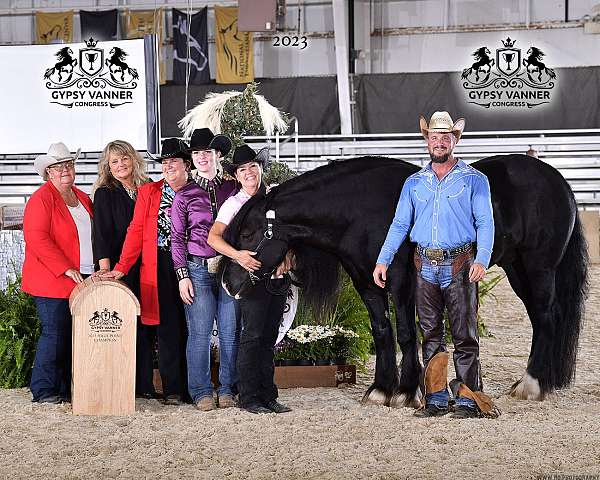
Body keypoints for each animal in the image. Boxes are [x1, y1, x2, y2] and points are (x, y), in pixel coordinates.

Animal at [219, 156, 584, 406]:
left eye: (248, 232)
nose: (227, 284)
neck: (359, 211)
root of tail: (557, 181)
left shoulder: (399, 281)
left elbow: (407, 333)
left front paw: (407, 391)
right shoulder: (367, 283)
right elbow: (383, 332)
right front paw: (381, 389)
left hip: (539, 268)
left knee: (546, 317)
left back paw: (532, 384)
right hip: (517, 268)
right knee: (541, 319)